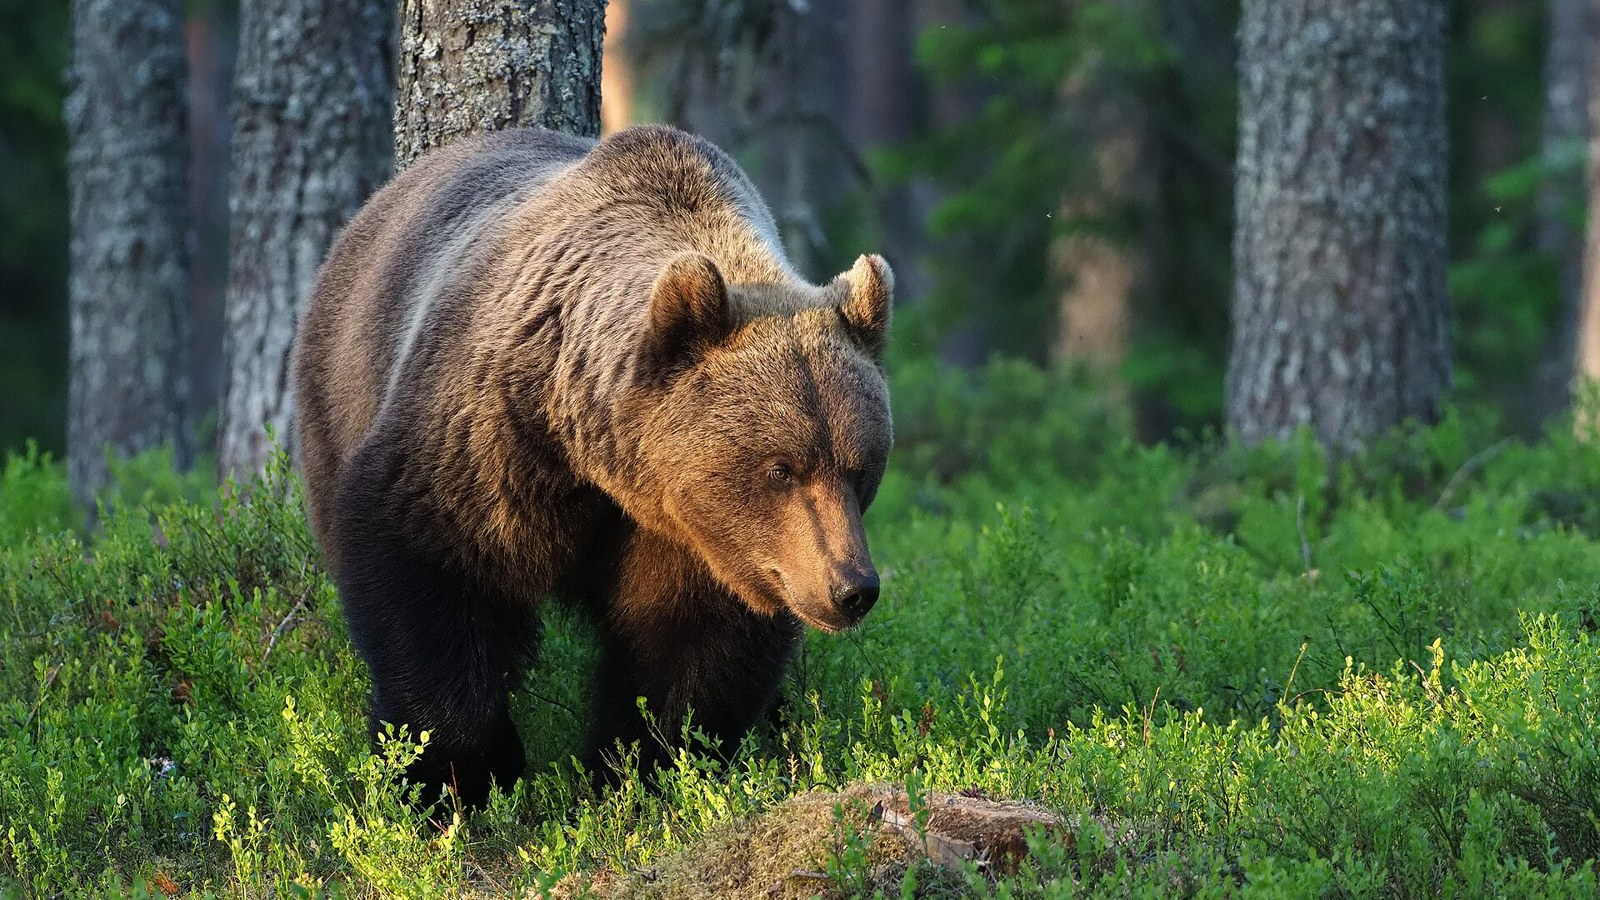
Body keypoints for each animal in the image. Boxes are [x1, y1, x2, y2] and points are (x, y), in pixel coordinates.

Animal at [291, 125, 893, 807]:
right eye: (781, 468)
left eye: (860, 467)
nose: (851, 589)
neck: (600, 459)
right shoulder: (486, 441)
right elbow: (426, 569)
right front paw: (455, 772)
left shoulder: (697, 537)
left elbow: (688, 645)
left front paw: (638, 768)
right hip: (337, 398)